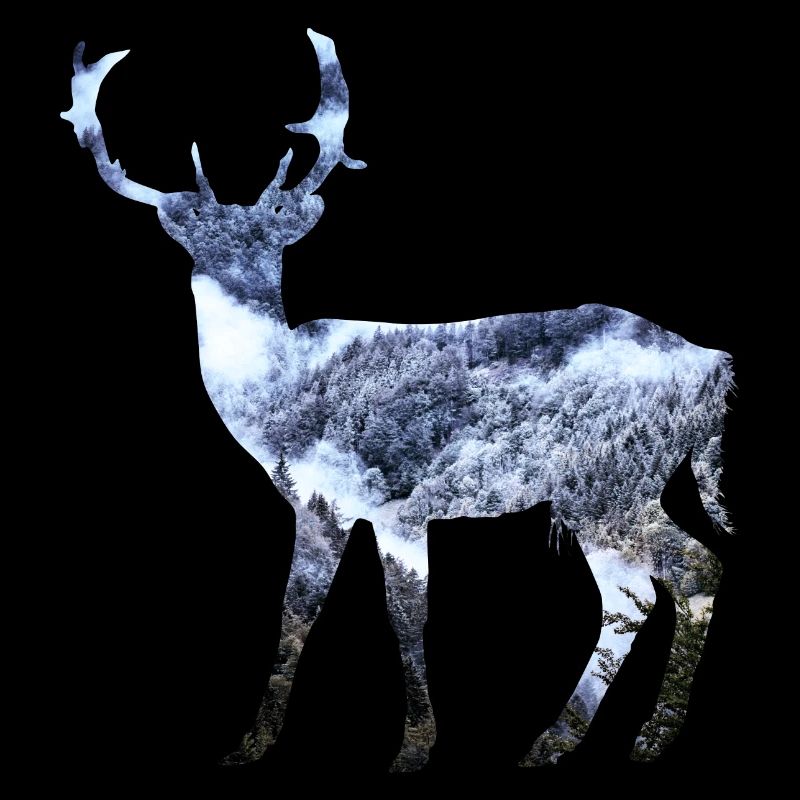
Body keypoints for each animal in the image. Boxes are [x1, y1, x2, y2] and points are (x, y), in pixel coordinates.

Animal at [61, 30, 750, 776]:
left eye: (278, 230)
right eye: (194, 239)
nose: (237, 295)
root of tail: (714, 356)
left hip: (613, 480)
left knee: (655, 587)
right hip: (663, 475)